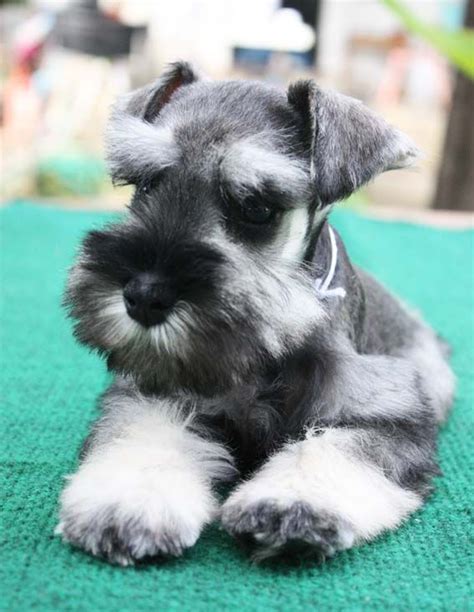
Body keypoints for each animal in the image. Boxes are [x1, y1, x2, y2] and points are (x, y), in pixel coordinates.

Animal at [56, 61, 456, 564]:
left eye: (257, 207)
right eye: (146, 183)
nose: (143, 295)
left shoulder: (387, 414)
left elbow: (337, 448)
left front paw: (290, 504)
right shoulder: (161, 389)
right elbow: (144, 434)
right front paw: (125, 503)